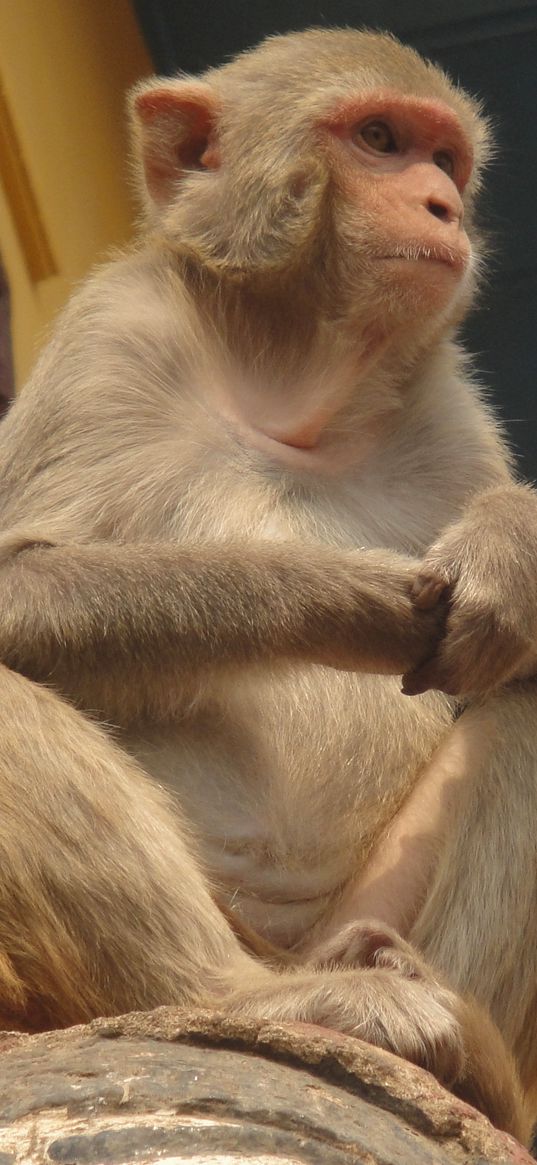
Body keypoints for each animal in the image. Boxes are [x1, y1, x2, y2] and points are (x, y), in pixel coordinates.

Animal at [1, 27, 535, 1146]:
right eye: (379, 140)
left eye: (445, 158)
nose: (443, 206)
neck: (290, 396)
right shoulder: (110, 334)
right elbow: (11, 588)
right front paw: (338, 594)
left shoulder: (454, 410)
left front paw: (514, 542)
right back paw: (249, 995)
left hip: (364, 909)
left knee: (525, 705)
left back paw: (470, 1062)